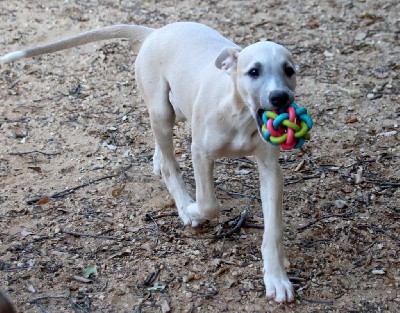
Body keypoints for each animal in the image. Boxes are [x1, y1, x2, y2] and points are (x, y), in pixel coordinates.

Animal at [1, 22, 298, 302]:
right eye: (253, 72)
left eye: (289, 70)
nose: (280, 97)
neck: (239, 113)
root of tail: (154, 32)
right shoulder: (200, 154)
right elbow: (209, 205)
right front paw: (191, 210)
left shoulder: (271, 170)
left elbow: (273, 230)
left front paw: (276, 279)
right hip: (161, 110)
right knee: (169, 164)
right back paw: (181, 201)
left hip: (177, 106)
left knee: (165, 145)